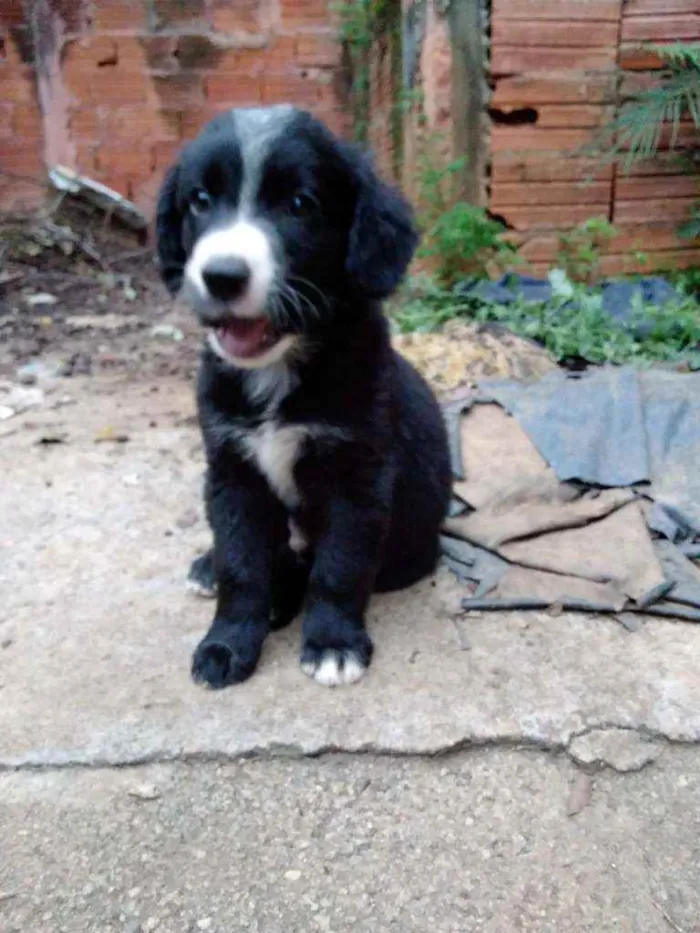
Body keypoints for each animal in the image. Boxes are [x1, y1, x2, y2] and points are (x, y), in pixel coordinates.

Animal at [155, 105, 452, 688]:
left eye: (299, 205)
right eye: (199, 200)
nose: (221, 276)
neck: (277, 371)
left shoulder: (358, 477)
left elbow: (338, 566)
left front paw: (333, 643)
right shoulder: (231, 470)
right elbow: (240, 564)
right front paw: (227, 643)